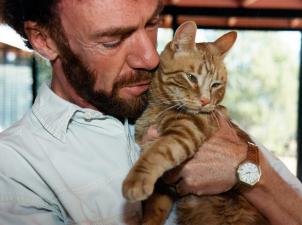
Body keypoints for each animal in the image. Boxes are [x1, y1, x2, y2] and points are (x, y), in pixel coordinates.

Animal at [122, 21, 268, 225]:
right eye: (191, 78)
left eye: (216, 85)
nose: (206, 101)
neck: (159, 107)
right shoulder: (165, 185)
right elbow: (155, 210)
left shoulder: (186, 130)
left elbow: (157, 152)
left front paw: (136, 181)